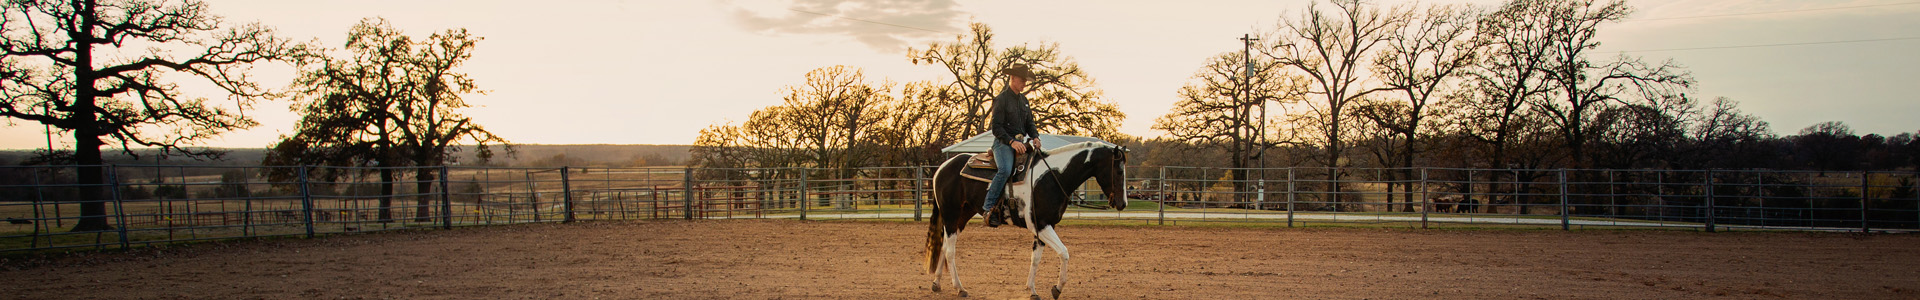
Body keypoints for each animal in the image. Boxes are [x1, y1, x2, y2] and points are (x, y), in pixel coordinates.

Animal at [917, 141, 1121, 300]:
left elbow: (1036, 258)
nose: (1121, 203)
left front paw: (1032, 290)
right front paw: (1057, 288)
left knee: (944, 245)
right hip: (951, 214)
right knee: (950, 251)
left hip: (961, 216)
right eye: (1117, 170)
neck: (1053, 177)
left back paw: (936, 283)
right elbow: (1064, 252)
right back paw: (960, 288)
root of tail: (942, 167)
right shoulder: (1041, 225)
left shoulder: (1045, 226)